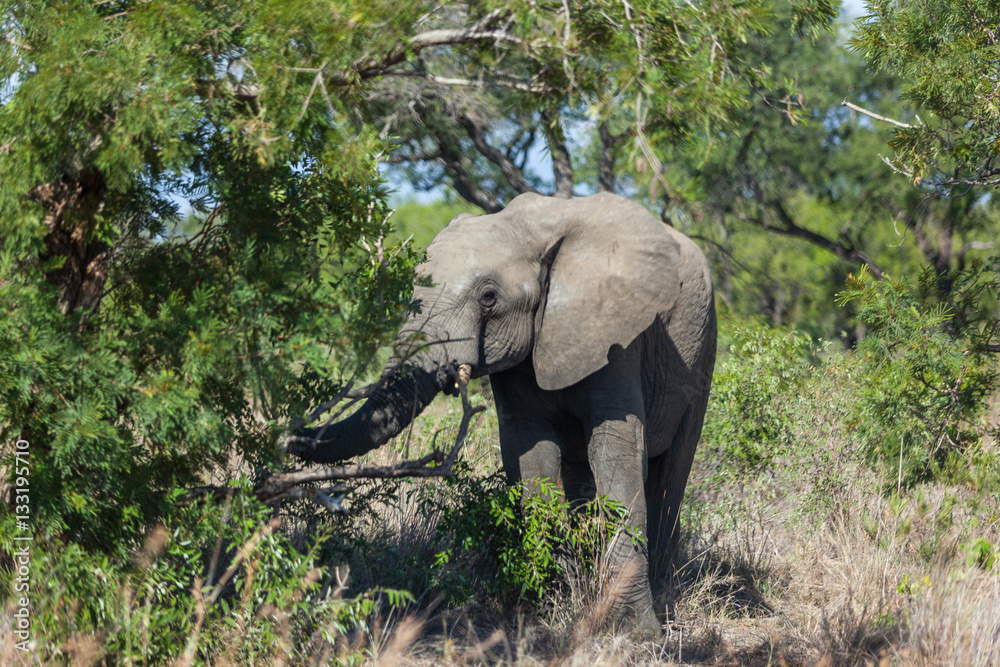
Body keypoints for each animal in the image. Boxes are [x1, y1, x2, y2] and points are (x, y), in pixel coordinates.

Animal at [290, 192, 716, 634]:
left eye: (489, 297)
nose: (292, 434)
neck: (532, 232)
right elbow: (530, 454)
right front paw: (552, 611)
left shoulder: (617, 334)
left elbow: (615, 454)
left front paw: (636, 632)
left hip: (702, 350)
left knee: (671, 474)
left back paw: (664, 597)